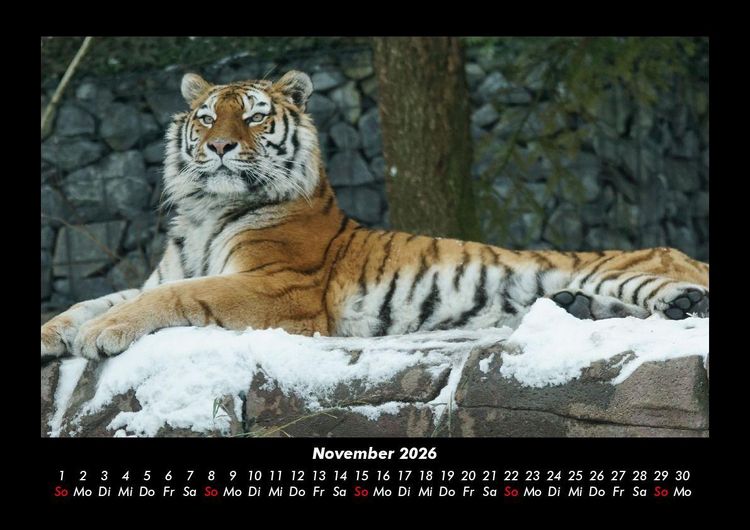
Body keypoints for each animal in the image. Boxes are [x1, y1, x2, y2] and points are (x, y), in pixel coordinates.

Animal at [40, 70, 709, 361]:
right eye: (207, 118)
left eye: (253, 117)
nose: (221, 146)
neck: (207, 211)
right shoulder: (168, 271)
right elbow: (93, 299)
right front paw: (59, 332)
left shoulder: (278, 287)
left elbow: (172, 298)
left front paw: (102, 335)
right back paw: (580, 308)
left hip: (628, 268)